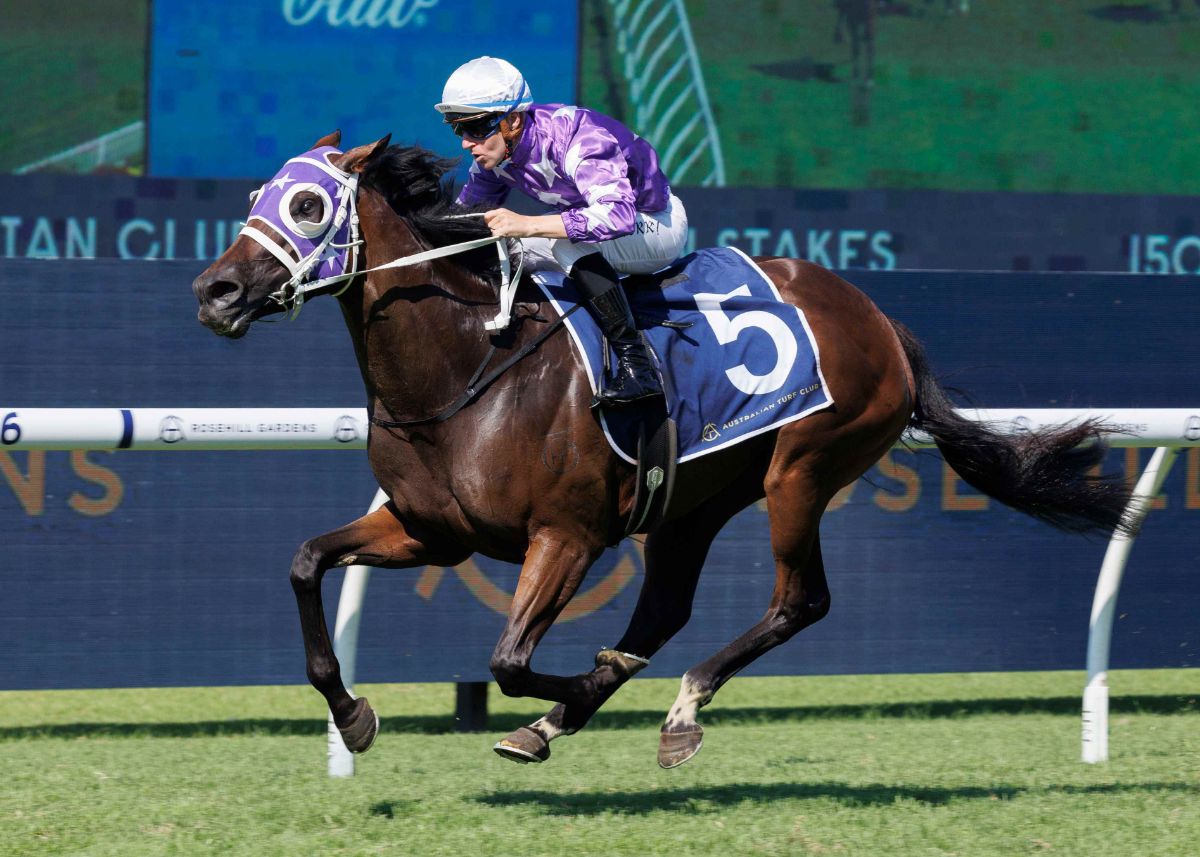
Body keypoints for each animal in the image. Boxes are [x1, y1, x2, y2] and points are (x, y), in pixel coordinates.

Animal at [192, 132, 1133, 768]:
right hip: (693, 502)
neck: (470, 363)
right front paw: (354, 715)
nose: (216, 289)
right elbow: (307, 562)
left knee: (800, 600)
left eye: (309, 205)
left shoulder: (566, 535)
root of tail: (877, 317)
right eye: (260, 194)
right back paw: (580, 718)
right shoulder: (433, 531)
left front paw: (573, 690)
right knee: (666, 609)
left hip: (803, 469)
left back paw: (674, 709)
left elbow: (509, 660)